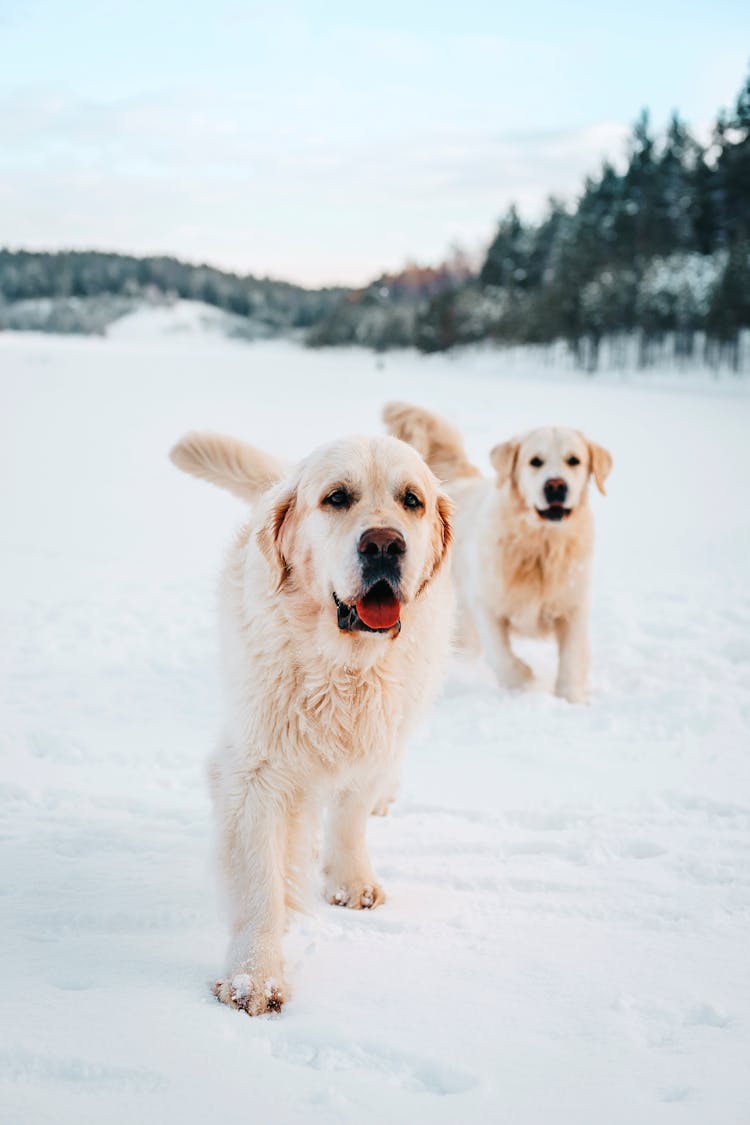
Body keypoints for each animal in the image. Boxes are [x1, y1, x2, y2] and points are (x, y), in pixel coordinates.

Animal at [169, 425, 452, 1017]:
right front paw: (254, 978)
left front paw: (351, 880)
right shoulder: (253, 772)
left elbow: (350, 817)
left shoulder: (373, 745)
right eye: (336, 497)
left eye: (411, 500)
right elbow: (260, 885)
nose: (384, 544)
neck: (343, 669)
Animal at [384, 402, 611, 702]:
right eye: (535, 461)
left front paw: (569, 697)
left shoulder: (572, 606)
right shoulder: (485, 603)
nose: (555, 486)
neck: (541, 544)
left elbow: (572, 658)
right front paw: (523, 681)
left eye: (574, 460)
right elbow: (502, 656)